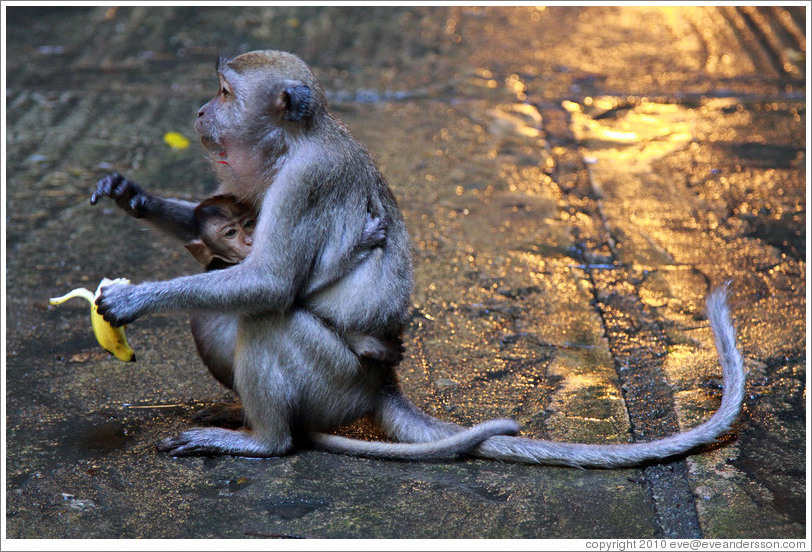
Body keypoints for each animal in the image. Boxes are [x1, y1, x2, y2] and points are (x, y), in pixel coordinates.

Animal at [92, 49, 744, 468]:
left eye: (226, 92)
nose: (202, 111)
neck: (295, 142)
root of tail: (382, 385)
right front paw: (133, 195)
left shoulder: (306, 182)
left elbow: (269, 284)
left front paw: (133, 298)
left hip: (337, 381)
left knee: (268, 320)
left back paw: (266, 441)